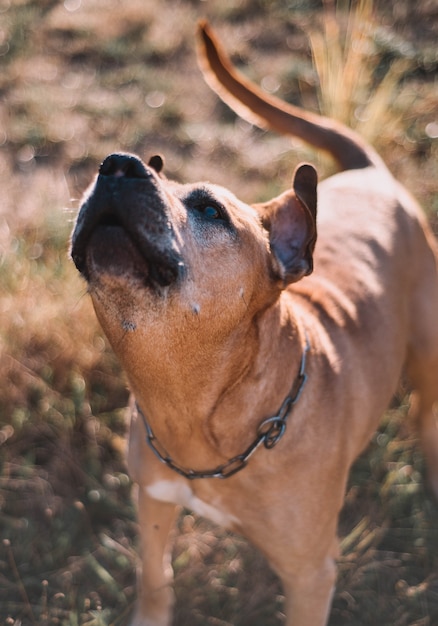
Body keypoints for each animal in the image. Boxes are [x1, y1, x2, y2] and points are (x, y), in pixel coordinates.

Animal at [70, 20, 438, 624]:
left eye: (210, 210)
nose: (117, 163)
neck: (195, 411)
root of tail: (369, 173)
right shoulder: (153, 501)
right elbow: (155, 577)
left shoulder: (311, 574)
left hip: (428, 348)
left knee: (426, 413)